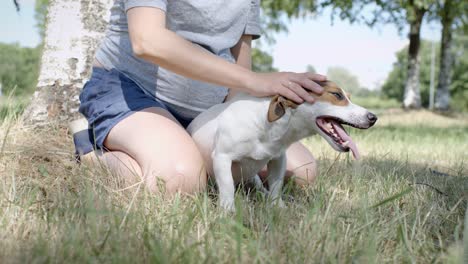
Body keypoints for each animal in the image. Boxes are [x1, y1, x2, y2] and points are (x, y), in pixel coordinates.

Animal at [186, 80, 376, 210]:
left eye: (348, 97)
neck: (265, 126)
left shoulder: (278, 159)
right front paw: (227, 211)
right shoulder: (222, 157)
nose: (373, 117)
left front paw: (277, 207)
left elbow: (276, 186)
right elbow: (227, 187)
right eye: (337, 95)